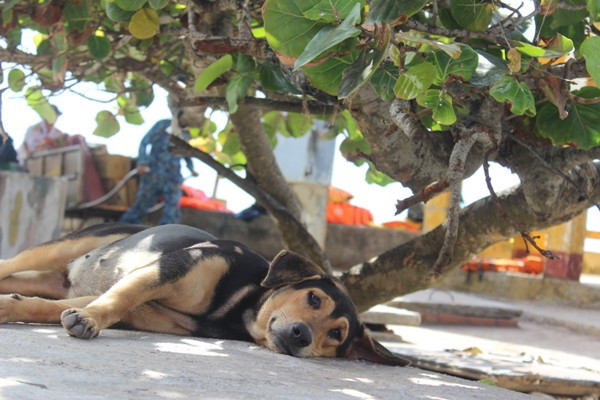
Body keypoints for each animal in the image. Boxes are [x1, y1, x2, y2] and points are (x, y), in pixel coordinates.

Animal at [0, 223, 409, 366]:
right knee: (8, 263)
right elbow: (116, 300)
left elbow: (55, 308)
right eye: (313, 299)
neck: (238, 305)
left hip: (53, 278)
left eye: (337, 334)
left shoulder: (140, 307)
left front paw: (16, 309)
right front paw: (87, 320)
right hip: (65, 246)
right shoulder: (163, 271)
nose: (301, 335)